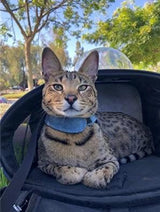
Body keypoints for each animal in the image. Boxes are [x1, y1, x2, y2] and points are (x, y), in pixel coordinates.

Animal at [37, 48, 154, 189]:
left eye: (83, 87)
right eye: (57, 86)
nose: (71, 98)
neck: (72, 131)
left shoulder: (111, 158)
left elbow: (106, 168)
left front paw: (95, 176)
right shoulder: (42, 163)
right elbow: (60, 168)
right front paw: (75, 171)